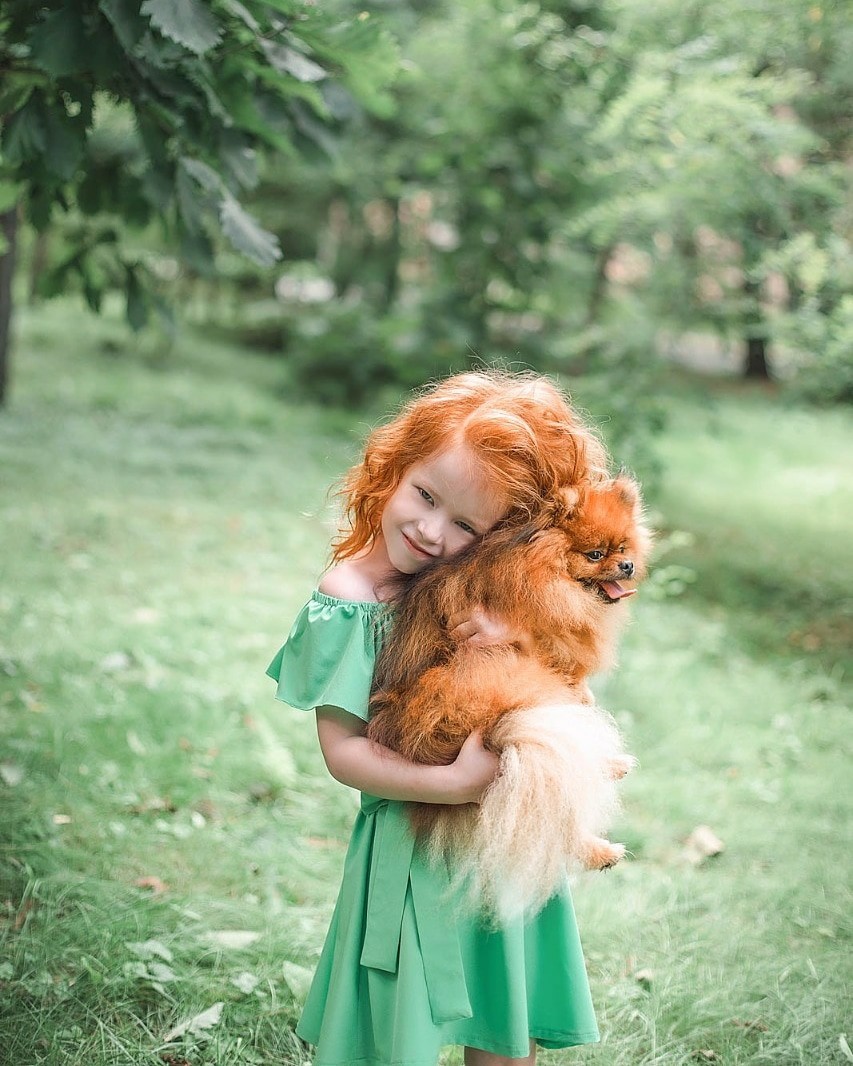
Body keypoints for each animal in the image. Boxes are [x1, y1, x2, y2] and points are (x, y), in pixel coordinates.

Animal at [366, 471, 652, 921]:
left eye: (624, 547)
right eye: (595, 555)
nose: (627, 565)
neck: (540, 569)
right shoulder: (532, 637)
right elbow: (558, 652)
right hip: (514, 695)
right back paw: (601, 848)